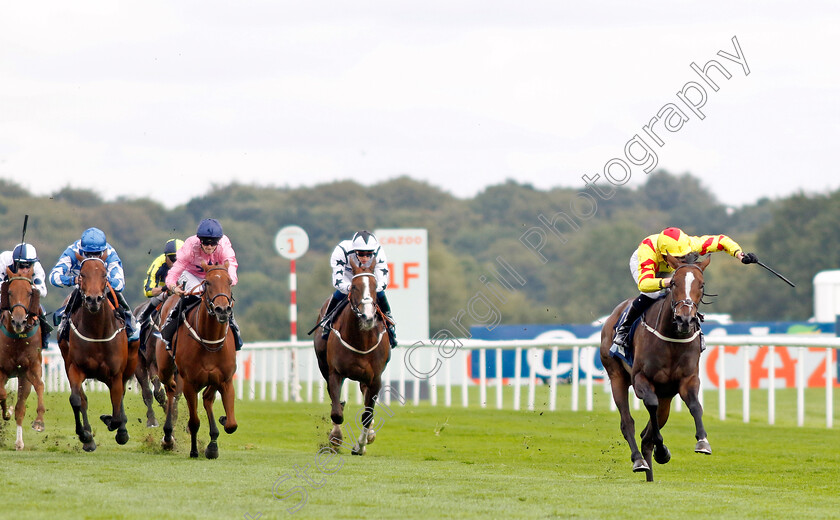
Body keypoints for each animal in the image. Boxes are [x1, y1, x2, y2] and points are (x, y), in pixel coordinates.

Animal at [0, 266, 46, 448]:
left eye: (29, 292)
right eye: (9, 292)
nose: (19, 322)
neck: (17, 338)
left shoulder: (30, 368)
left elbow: (40, 386)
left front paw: (39, 422)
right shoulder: (1, 370)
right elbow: (2, 394)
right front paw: (7, 412)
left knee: (20, 407)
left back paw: (19, 442)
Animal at [58, 252, 139, 450]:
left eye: (104, 274)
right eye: (82, 274)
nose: (93, 299)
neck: (96, 332)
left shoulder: (115, 374)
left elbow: (117, 411)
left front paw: (116, 426)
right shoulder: (75, 368)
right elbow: (76, 400)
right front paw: (84, 434)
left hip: (129, 365)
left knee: (120, 398)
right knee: (83, 399)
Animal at [156, 262, 236, 458]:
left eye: (230, 281)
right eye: (207, 282)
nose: (223, 310)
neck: (210, 340)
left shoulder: (225, 380)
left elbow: (231, 424)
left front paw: (217, 433)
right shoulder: (190, 383)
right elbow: (194, 422)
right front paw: (193, 450)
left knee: (206, 398)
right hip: (165, 369)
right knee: (170, 390)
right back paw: (168, 437)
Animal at [316, 256, 390, 456]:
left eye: (375, 286)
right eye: (354, 287)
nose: (368, 317)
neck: (361, 340)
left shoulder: (376, 378)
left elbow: (367, 415)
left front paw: (360, 446)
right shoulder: (335, 373)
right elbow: (337, 412)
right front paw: (335, 437)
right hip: (323, 365)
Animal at [600, 254, 712, 482]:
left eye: (702, 284)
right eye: (674, 283)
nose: (685, 319)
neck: (672, 339)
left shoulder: (688, 379)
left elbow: (695, 406)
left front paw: (702, 441)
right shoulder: (641, 379)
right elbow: (650, 406)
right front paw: (661, 451)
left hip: (666, 397)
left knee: (647, 435)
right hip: (617, 376)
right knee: (627, 423)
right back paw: (639, 461)